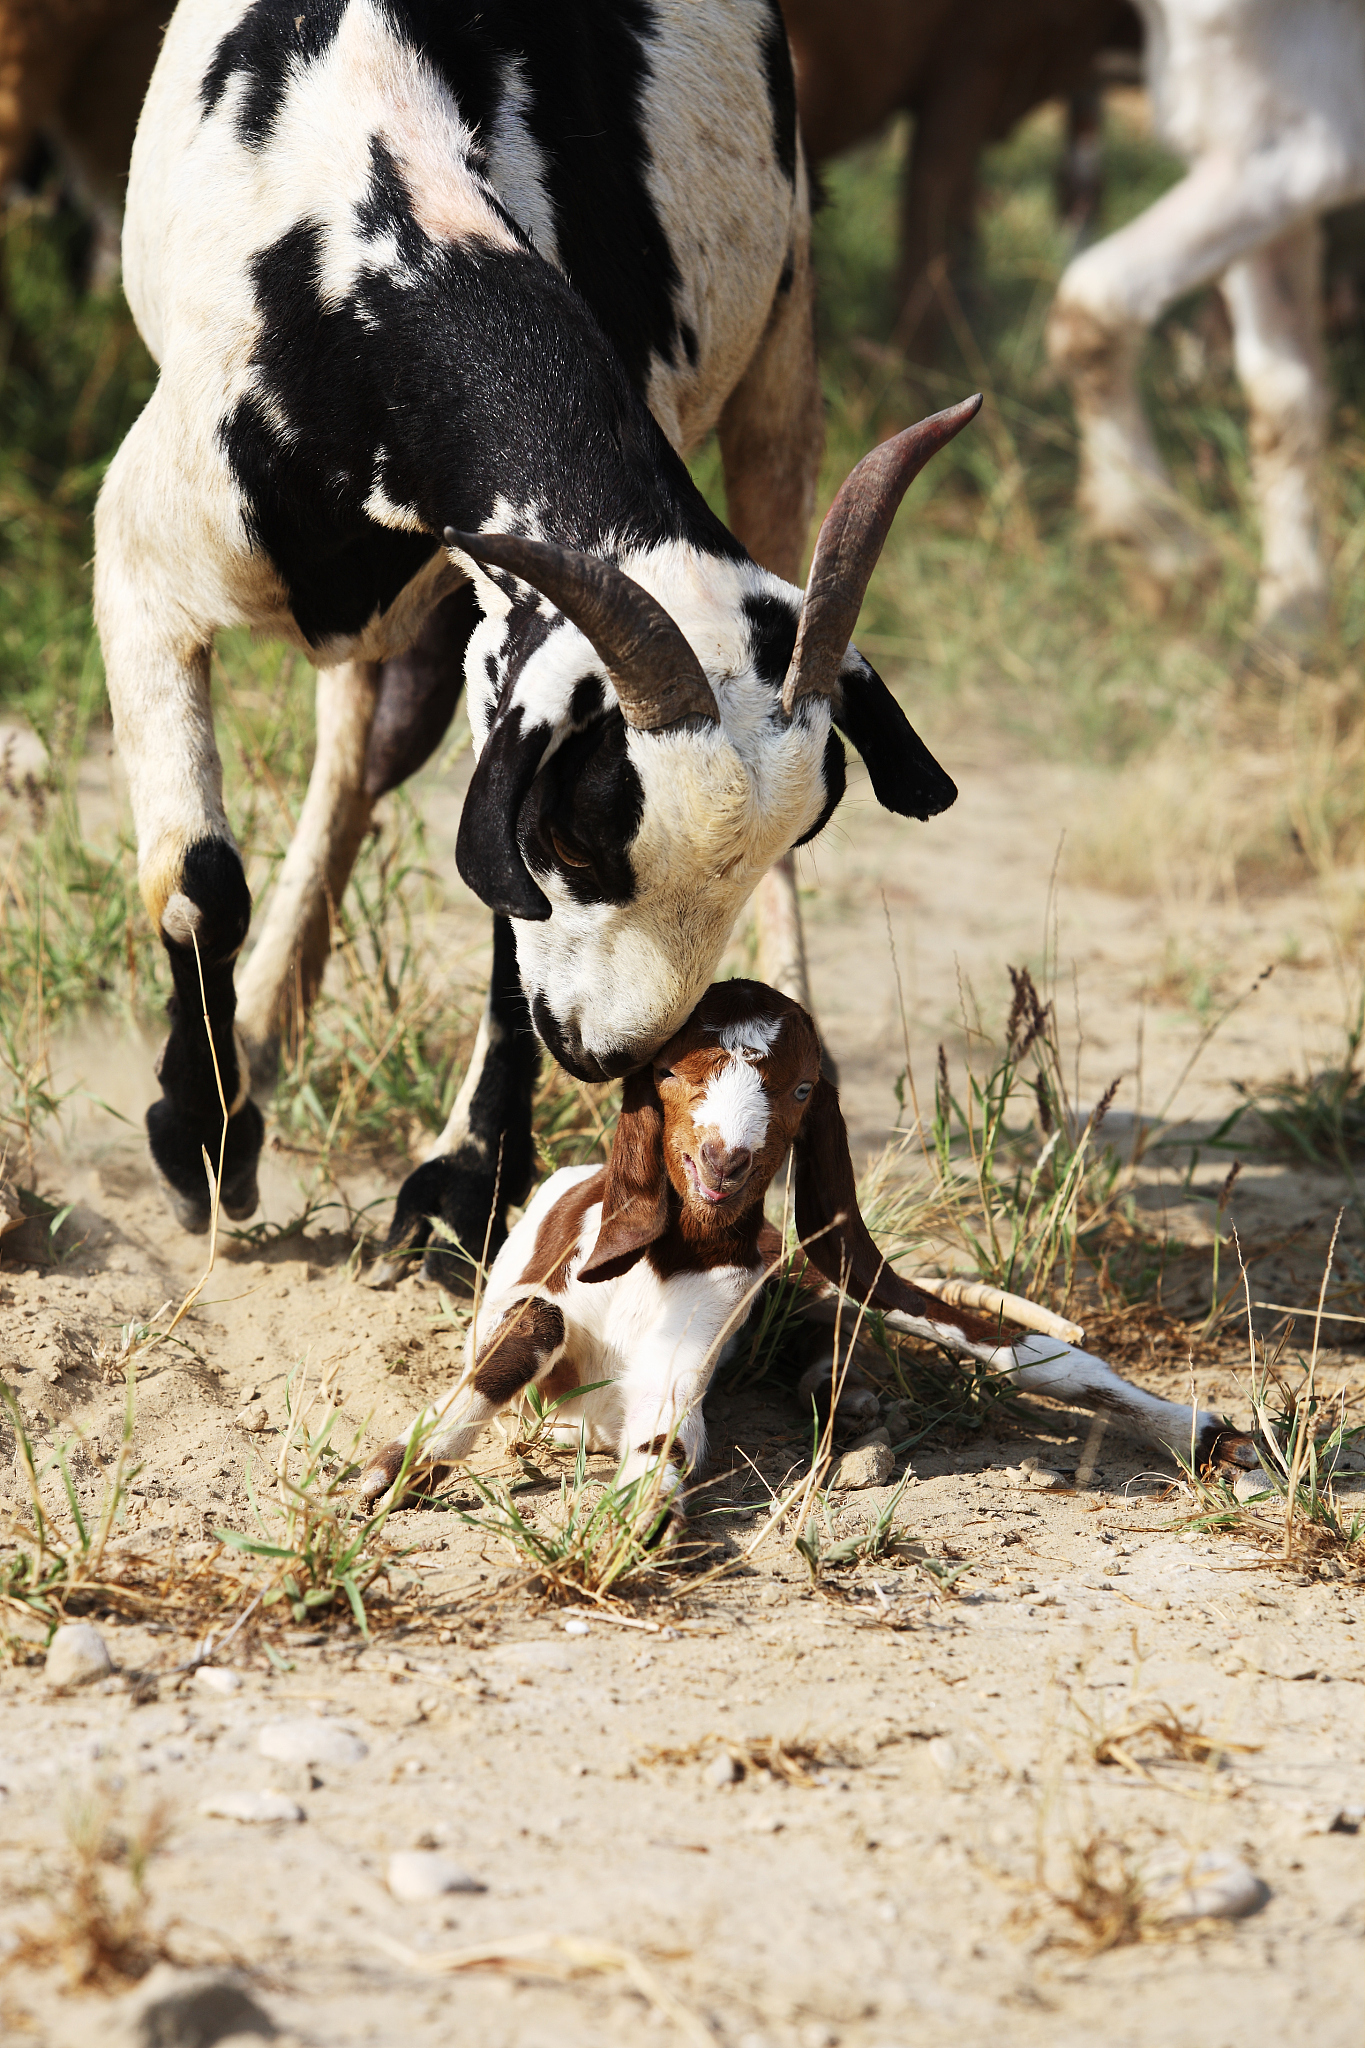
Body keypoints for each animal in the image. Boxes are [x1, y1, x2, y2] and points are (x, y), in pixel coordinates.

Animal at [358, 978, 1253, 1512]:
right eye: (671, 1074)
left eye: (797, 1088)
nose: (723, 1162)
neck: (673, 1256)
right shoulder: (541, 1303)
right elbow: (536, 1329)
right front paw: (393, 1469)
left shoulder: (694, 1352)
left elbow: (667, 1442)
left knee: (1011, 1349)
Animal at [1047, 0, 1365, 646]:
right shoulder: (1255, 127)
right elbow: (1283, 395)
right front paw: (1291, 620)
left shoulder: (1308, 140)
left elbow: (1095, 297)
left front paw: (1162, 544)